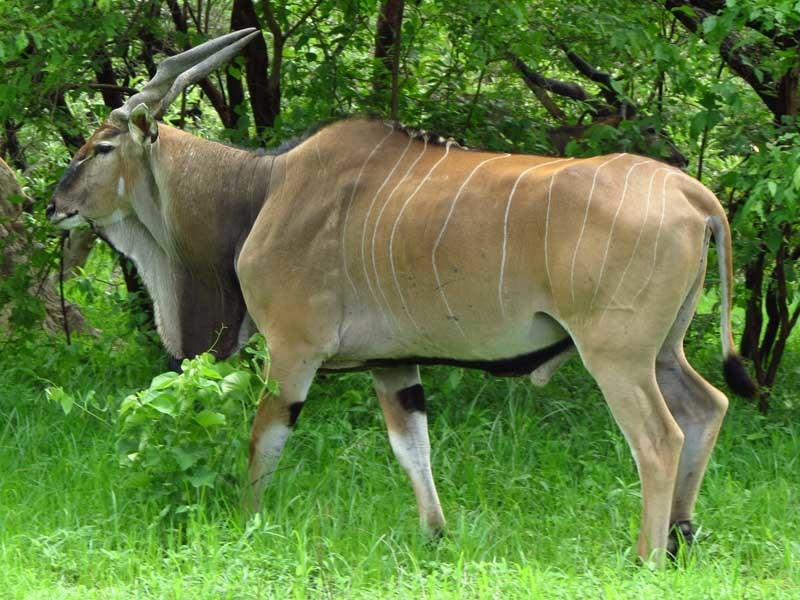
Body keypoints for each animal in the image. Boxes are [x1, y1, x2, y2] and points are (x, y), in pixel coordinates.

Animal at [50, 27, 756, 564]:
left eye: (101, 146)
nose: (56, 205)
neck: (263, 188)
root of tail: (695, 196)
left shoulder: (293, 351)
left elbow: (264, 442)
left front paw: (247, 523)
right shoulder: (393, 364)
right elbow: (413, 448)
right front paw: (436, 537)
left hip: (616, 356)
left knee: (659, 439)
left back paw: (645, 556)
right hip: (661, 351)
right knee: (708, 406)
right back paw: (681, 539)